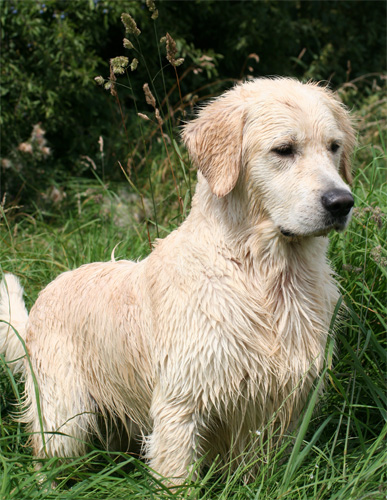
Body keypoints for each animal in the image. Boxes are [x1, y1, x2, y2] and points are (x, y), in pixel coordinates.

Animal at [0, 79, 356, 484]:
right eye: (284, 149)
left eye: (334, 147)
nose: (342, 202)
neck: (264, 276)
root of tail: (43, 296)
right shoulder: (181, 405)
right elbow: (177, 479)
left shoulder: (282, 404)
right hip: (65, 417)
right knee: (46, 459)